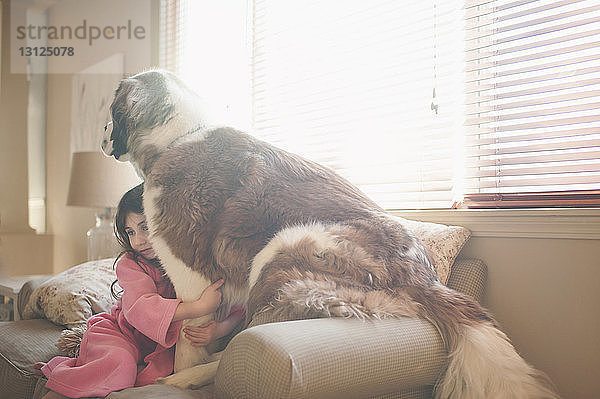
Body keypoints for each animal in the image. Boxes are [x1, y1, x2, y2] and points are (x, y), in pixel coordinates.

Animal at [102, 70, 556, 398]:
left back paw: (189, 380)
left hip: (279, 253)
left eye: (111, 112)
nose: (103, 134)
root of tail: (425, 278)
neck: (180, 136)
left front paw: (178, 371)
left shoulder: (191, 275)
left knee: (253, 330)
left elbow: (185, 338)